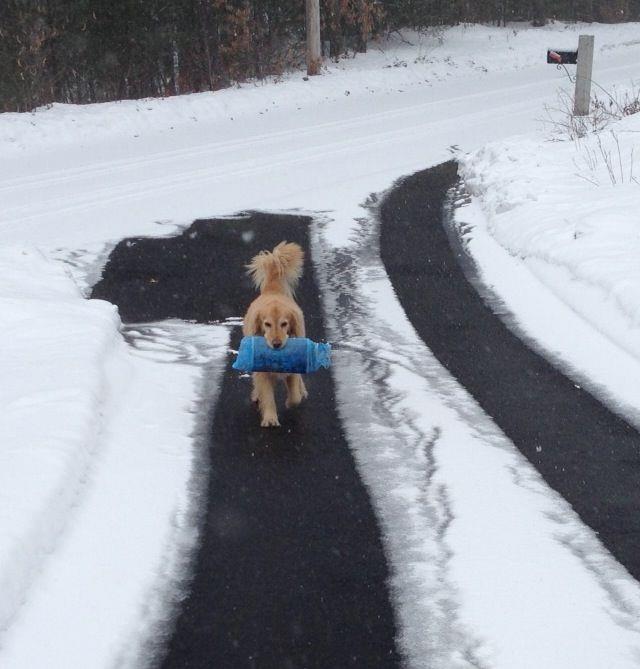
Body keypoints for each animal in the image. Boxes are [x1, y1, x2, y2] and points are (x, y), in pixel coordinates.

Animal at [242, 243, 308, 426]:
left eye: (284, 324)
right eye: (267, 324)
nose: (277, 344)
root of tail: (272, 290)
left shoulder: (292, 369)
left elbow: (295, 396)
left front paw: (291, 401)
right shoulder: (262, 372)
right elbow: (267, 395)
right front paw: (270, 418)